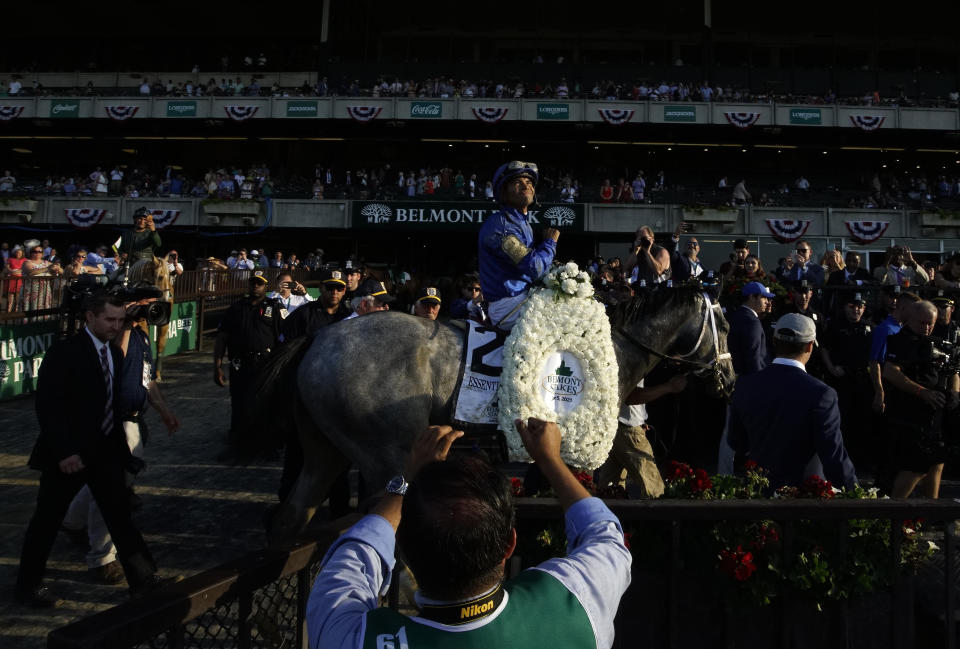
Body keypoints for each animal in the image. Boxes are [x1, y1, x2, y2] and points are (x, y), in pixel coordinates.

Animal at [264, 286, 736, 544]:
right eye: (727, 327)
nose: (729, 380)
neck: (615, 343)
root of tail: (317, 340)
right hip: (385, 453)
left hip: (325, 449)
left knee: (292, 515)